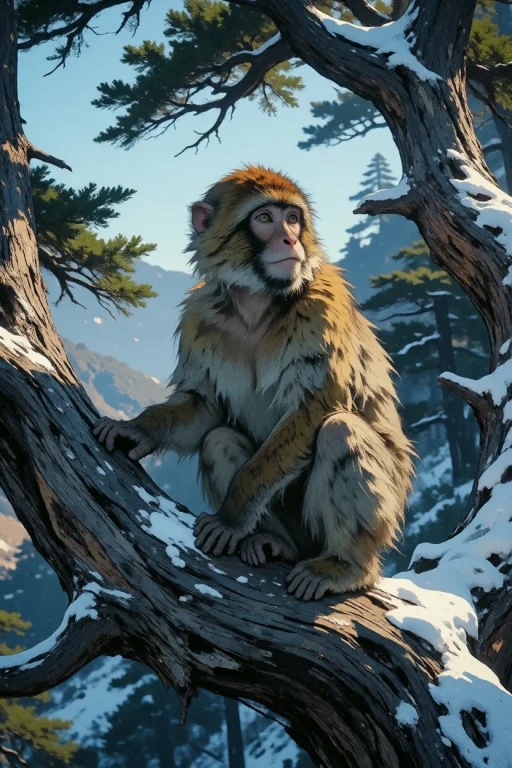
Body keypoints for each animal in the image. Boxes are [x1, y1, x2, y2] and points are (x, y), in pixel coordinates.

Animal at [93, 165, 414, 601]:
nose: (290, 239)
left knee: (340, 433)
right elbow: (205, 406)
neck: (258, 303)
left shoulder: (321, 309)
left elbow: (314, 407)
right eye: (264, 218)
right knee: (219, 440)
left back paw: (344, 567)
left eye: (293, 218)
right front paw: (136, 429)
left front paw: (230, 516)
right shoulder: (200, 317)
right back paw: (274, 541)